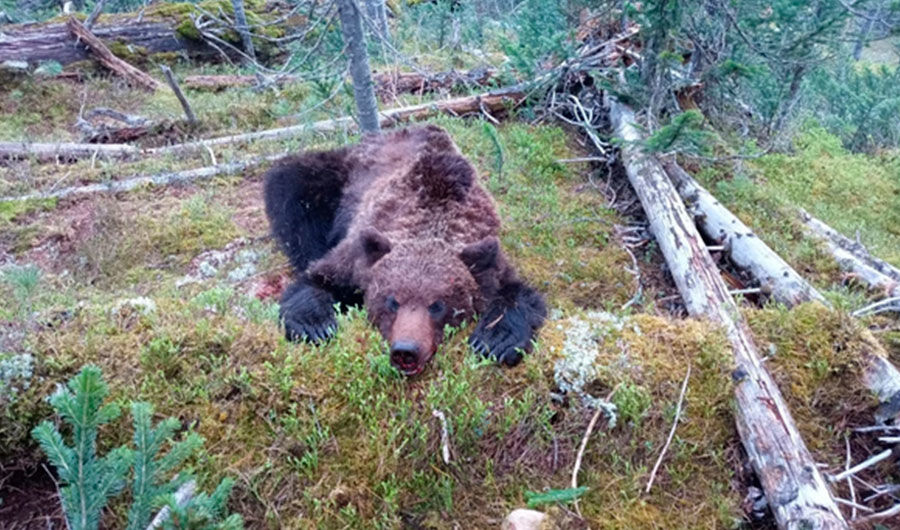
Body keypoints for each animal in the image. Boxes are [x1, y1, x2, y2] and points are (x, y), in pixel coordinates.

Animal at [263, 125, 546, 375]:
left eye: (437, 305)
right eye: (392, 300)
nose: (406, 350)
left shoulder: (488, 255)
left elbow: (519, 294)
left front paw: (495, 340)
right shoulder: (358, 254)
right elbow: (316, 279)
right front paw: (315, 325)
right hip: (337, 176)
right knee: (292, 186)